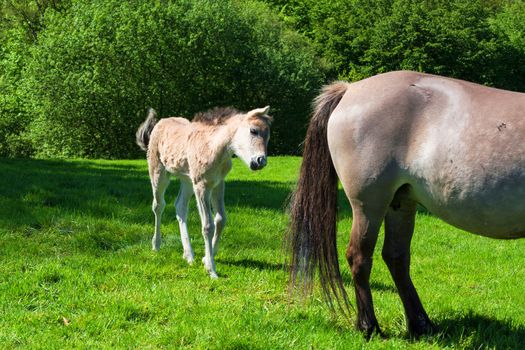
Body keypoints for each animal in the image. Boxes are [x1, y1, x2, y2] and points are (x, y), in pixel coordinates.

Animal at [137, 106, 272, 278]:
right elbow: (208, 225)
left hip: (187, 180)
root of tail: (160, 123)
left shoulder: (218, 184)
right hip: (158, 172)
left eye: (268, 135)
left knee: (180, 207)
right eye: (253, 131)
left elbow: (220, 220)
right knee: (158, 206)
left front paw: (206, 259)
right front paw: (212, 270)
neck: (214, 147)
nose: (260, 161)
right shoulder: (202, 186)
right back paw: (156, 245)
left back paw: (188, 255)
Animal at [288, 71, 520, 336]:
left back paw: (421, 325)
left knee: (396, 258)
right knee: (360, 257)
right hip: (369, 205)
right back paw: (369, 326)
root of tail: (349, 89)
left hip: (400, 203)